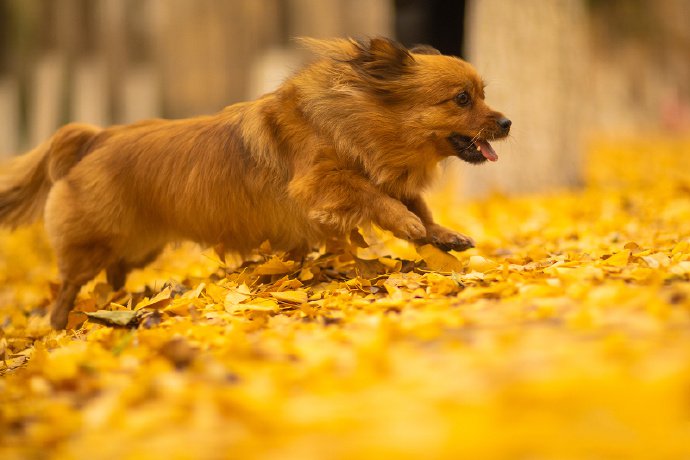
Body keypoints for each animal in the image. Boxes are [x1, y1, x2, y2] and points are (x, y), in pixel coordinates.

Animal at [0, 37, 506, 328]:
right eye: (462, 99)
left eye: (484, 94)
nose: (507, 122)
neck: (352, 119)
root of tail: (95, 137)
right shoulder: (320, 183)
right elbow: (374, 196)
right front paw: (407, 226)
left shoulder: (385, 175)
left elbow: (417, 203)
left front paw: (442, 235)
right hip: (90, 247)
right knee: (68, 284)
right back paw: (60, 325)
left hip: (136, 249)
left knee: (114, 273)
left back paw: (118, 300)